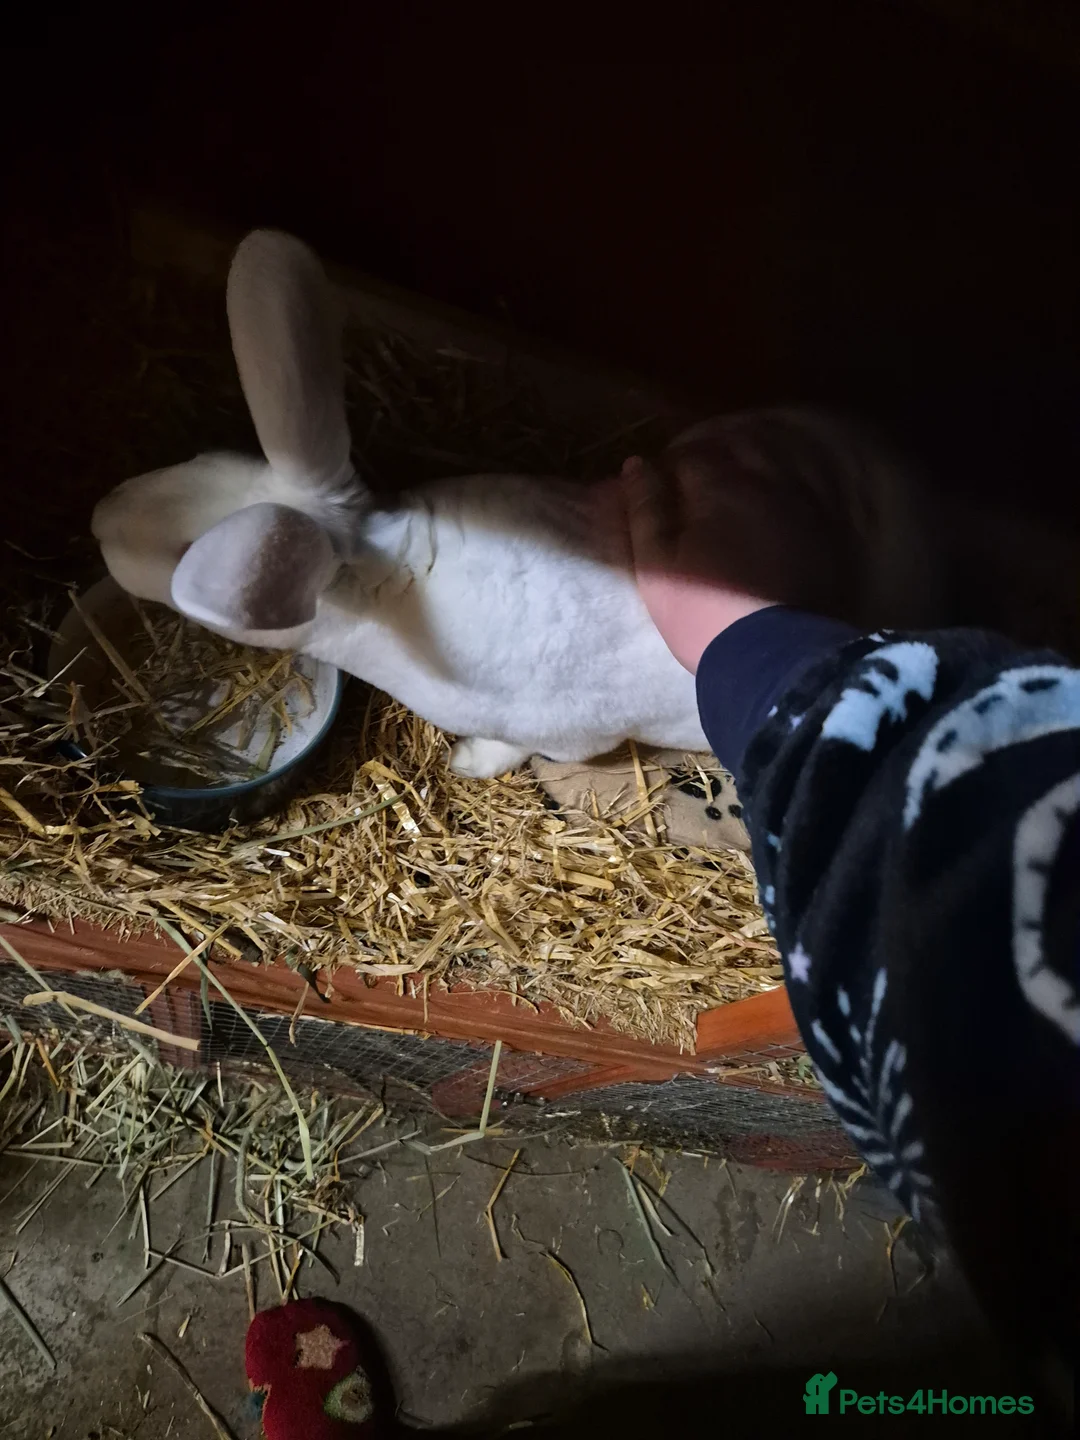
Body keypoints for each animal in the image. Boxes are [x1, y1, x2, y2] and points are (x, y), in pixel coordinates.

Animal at [92, 229, 710, 778]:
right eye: (203, 456)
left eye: (184, 554)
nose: (99, 520)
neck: (385, 571)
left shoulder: (568, 734)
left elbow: (521, 749)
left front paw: (467, 762)